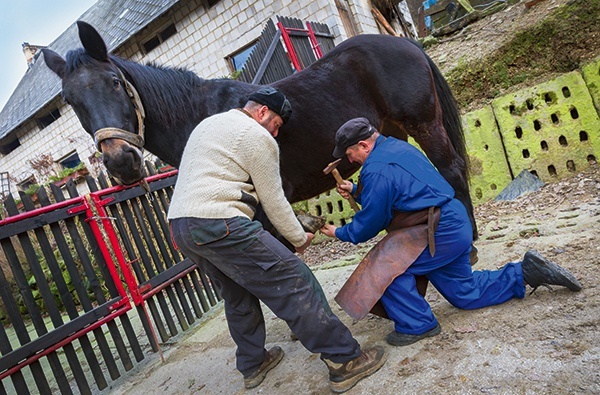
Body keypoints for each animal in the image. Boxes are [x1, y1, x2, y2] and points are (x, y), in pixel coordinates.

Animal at [42, 22, 478, 238]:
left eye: (115, 82)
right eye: (71, 101)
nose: (121, 162)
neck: (201, 115)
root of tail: (406, 44)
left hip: (425, 124)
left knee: (452, 170)